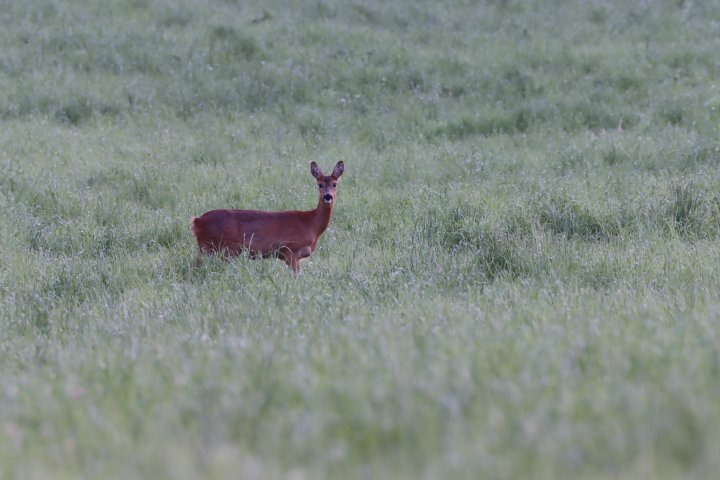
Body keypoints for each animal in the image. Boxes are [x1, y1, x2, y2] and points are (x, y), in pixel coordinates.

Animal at [191, 161, 344, 273]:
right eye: (320, 184)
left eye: (335, 184)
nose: (328, 196)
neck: (311, 224)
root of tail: (196, 221)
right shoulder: (290, 250)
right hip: (221, 247)